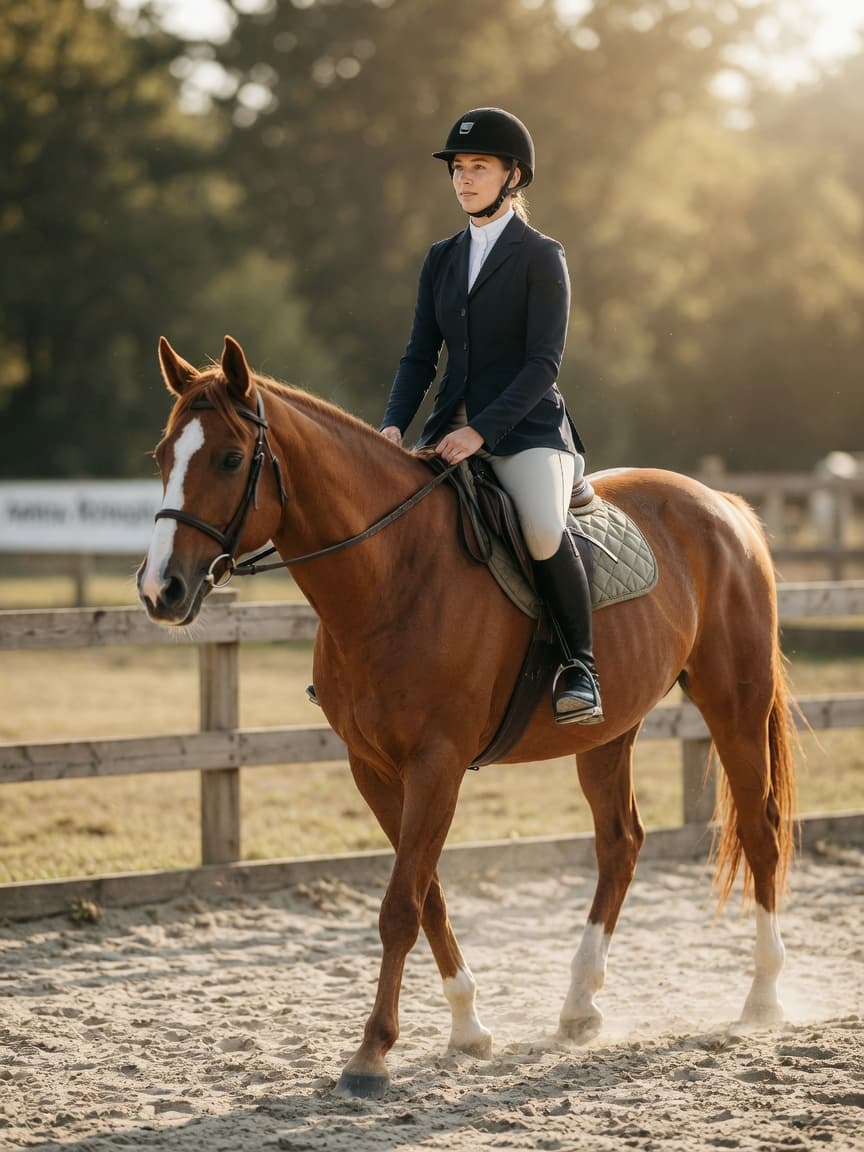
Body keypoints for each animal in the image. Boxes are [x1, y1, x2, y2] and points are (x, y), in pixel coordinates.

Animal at [138, 335, 797, 1099]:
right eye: (163, 456)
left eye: (228, 458)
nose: (160, 591)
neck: (392, 573)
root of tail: (722, 505)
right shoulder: (374, 769)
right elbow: (427, 896)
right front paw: (468, 1030)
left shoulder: (437, 764)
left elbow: (400, 905)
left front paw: (371, 1055)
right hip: (608, 732)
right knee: (621, 844)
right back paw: (579, 1006)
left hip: (734, 704)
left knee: (760, 830)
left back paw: (763, 999)